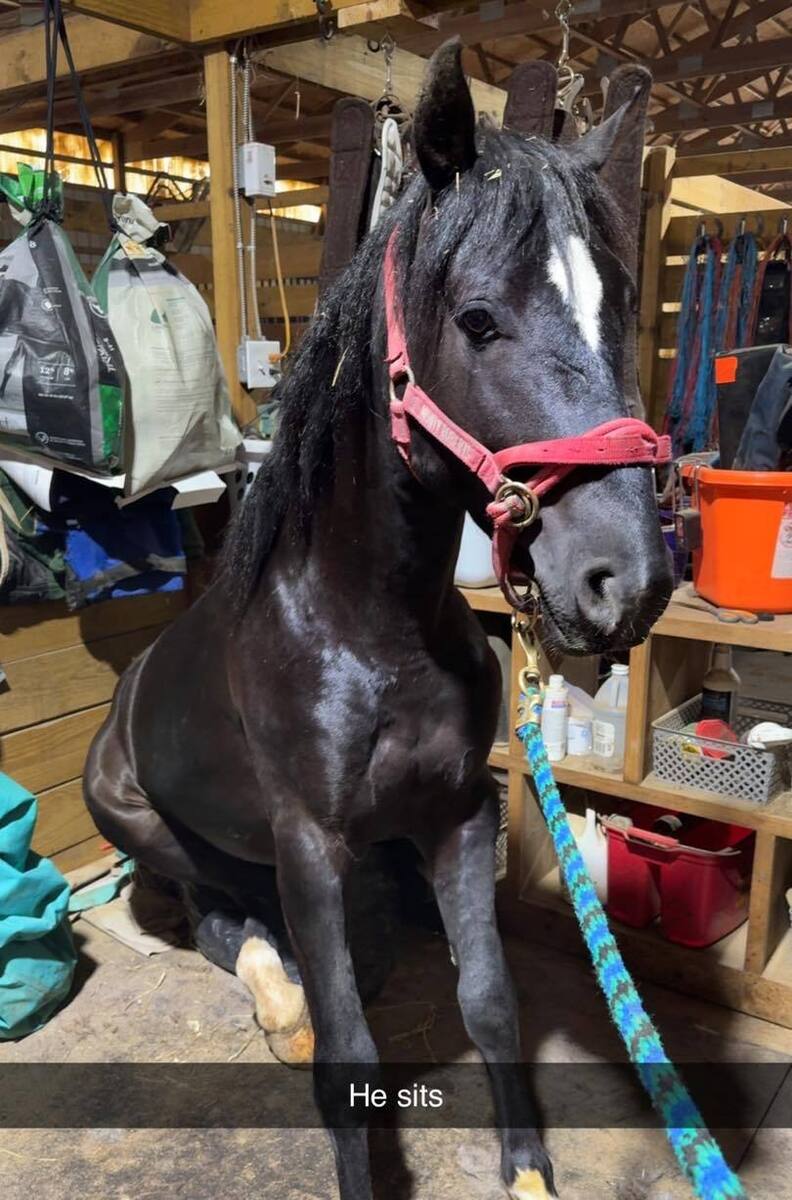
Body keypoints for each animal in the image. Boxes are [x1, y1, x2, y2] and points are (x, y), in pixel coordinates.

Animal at [84, 39, 672, 1200]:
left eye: (620, 309)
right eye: (479, 319)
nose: (623, 579)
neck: (367, 632)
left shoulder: (457, 815)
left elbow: (490, 1002)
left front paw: (527, 1169)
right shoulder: (308, 843)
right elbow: (350, 1058)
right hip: (134, 816)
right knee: (219, 916)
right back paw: (281, 1002)